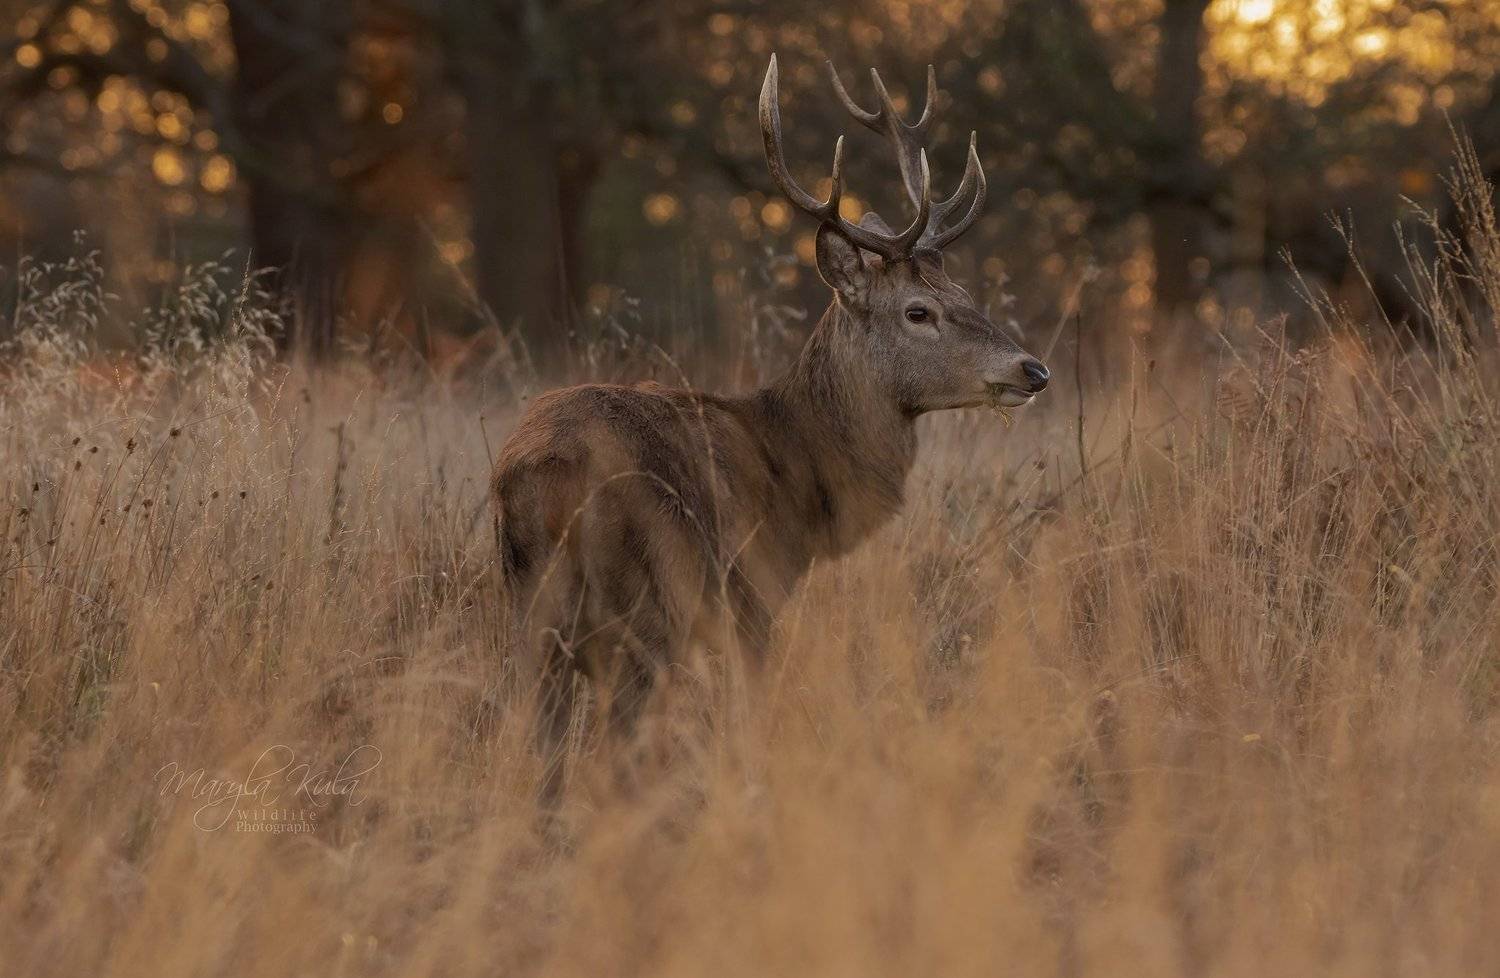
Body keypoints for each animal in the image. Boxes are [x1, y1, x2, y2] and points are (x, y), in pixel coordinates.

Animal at [492, 55, 1051, 806]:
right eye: (918, 311)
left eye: (964, 294)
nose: (1033, 368)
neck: (797, 472)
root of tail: (541, 477)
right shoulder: (752, 599)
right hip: (645, 610)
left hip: (532, 621)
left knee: (543, 758)